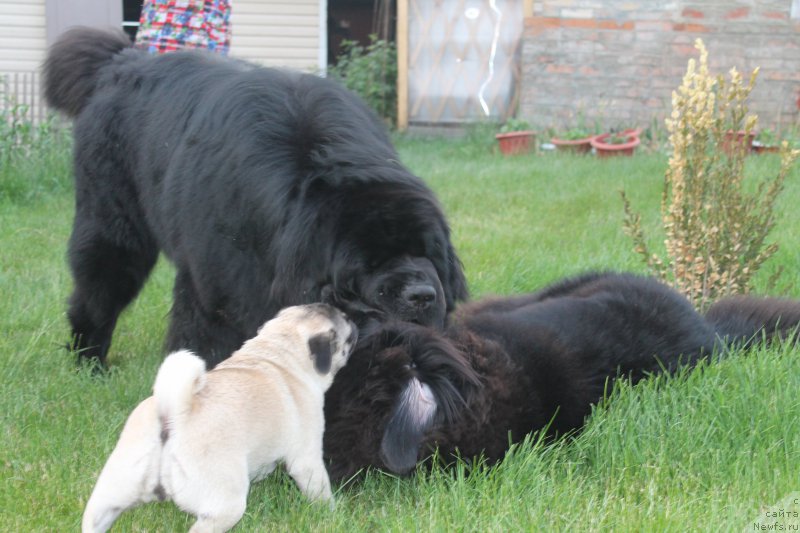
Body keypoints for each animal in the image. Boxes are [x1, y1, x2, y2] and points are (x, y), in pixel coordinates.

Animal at [43, 25, 466, 366]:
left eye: (426, 253)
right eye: (370, 263)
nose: (421, 295)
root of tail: (122, 62)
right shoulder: (216, 286)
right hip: (113, 227)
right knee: (99, 288)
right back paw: (89, 362)